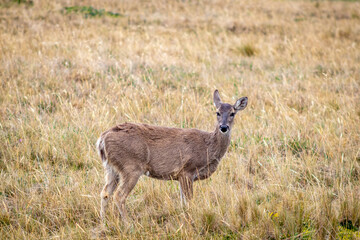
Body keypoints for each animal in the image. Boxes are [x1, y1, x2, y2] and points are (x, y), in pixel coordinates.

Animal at [95, 89, 248, 219]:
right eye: (217, 112)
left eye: (232, 113)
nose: (223, 127)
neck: (208, 147)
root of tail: (102, 139)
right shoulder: (187, 170)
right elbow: (189, 201)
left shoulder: (181, 176)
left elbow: (183, 202)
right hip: (131, 167)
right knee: (119, 196)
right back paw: (128, 224)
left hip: (111, 168)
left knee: (105, 193)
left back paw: (104, 222)